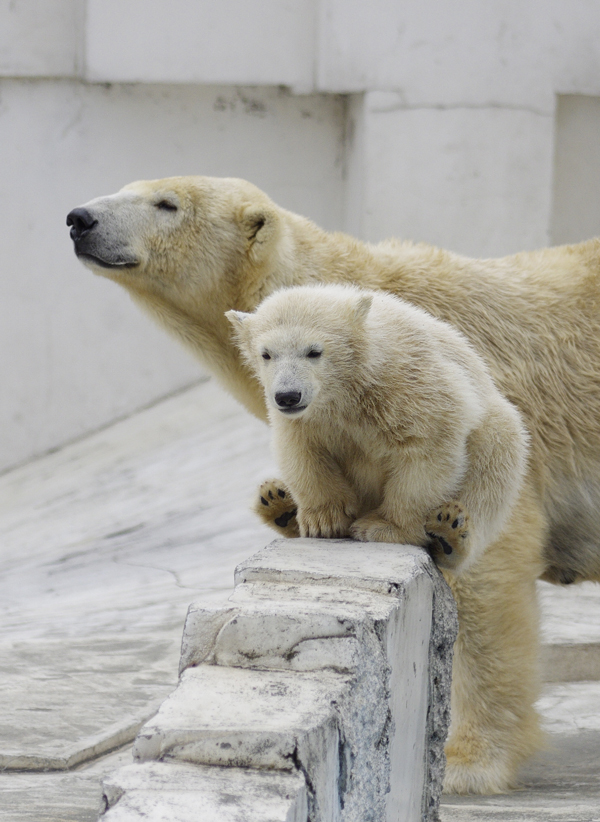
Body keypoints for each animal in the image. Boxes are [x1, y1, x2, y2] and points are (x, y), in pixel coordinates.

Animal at [67, 175, 600, 800]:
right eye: (127, 187)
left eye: (165, 203)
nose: (80, 219)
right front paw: (300, 507)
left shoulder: (463, 393)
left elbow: (489, 564)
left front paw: (466, 761)